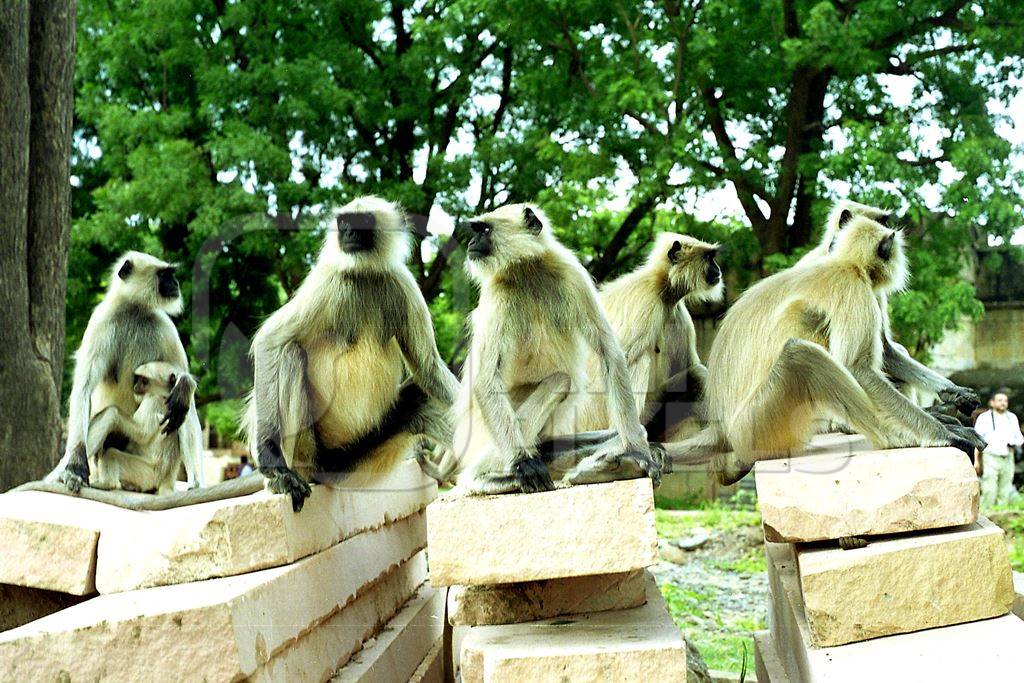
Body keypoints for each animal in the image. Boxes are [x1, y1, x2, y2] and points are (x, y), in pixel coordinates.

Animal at [84, 360, 191, 493]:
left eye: (144, 381)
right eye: (138, 379)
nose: (136, 386)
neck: (164, 396)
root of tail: (166, 479)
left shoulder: (152, 401)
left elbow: (141, 434)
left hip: (147, 474)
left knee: (111, 454)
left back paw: (107, 484)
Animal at [452, 200, 659, 493]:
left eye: (484, 230)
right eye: (477, 230)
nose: (471, 243)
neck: (527, 268)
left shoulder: (572, 273)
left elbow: (609, 352)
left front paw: (636, 452)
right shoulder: (496, 294)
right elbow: (486, 378)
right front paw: (522, 465)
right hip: (479, 430)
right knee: (559, 381)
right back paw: (487, 478)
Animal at [577, 232, 729, 440]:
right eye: (709, 257)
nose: (718, 269)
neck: (663, 287)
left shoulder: (677, 313)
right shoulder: (645, 301)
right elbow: (614, 364)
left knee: (695, 376)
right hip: (595, 415)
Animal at [675, 214, 978, 485]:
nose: (900, 256)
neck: (847, 264)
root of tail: (723, 427)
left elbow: (888, 350)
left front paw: (954, 391)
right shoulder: (854, 289)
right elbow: (858, 368)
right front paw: (941, 434)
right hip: (755, 428)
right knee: (802, 354)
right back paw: (895, 437)